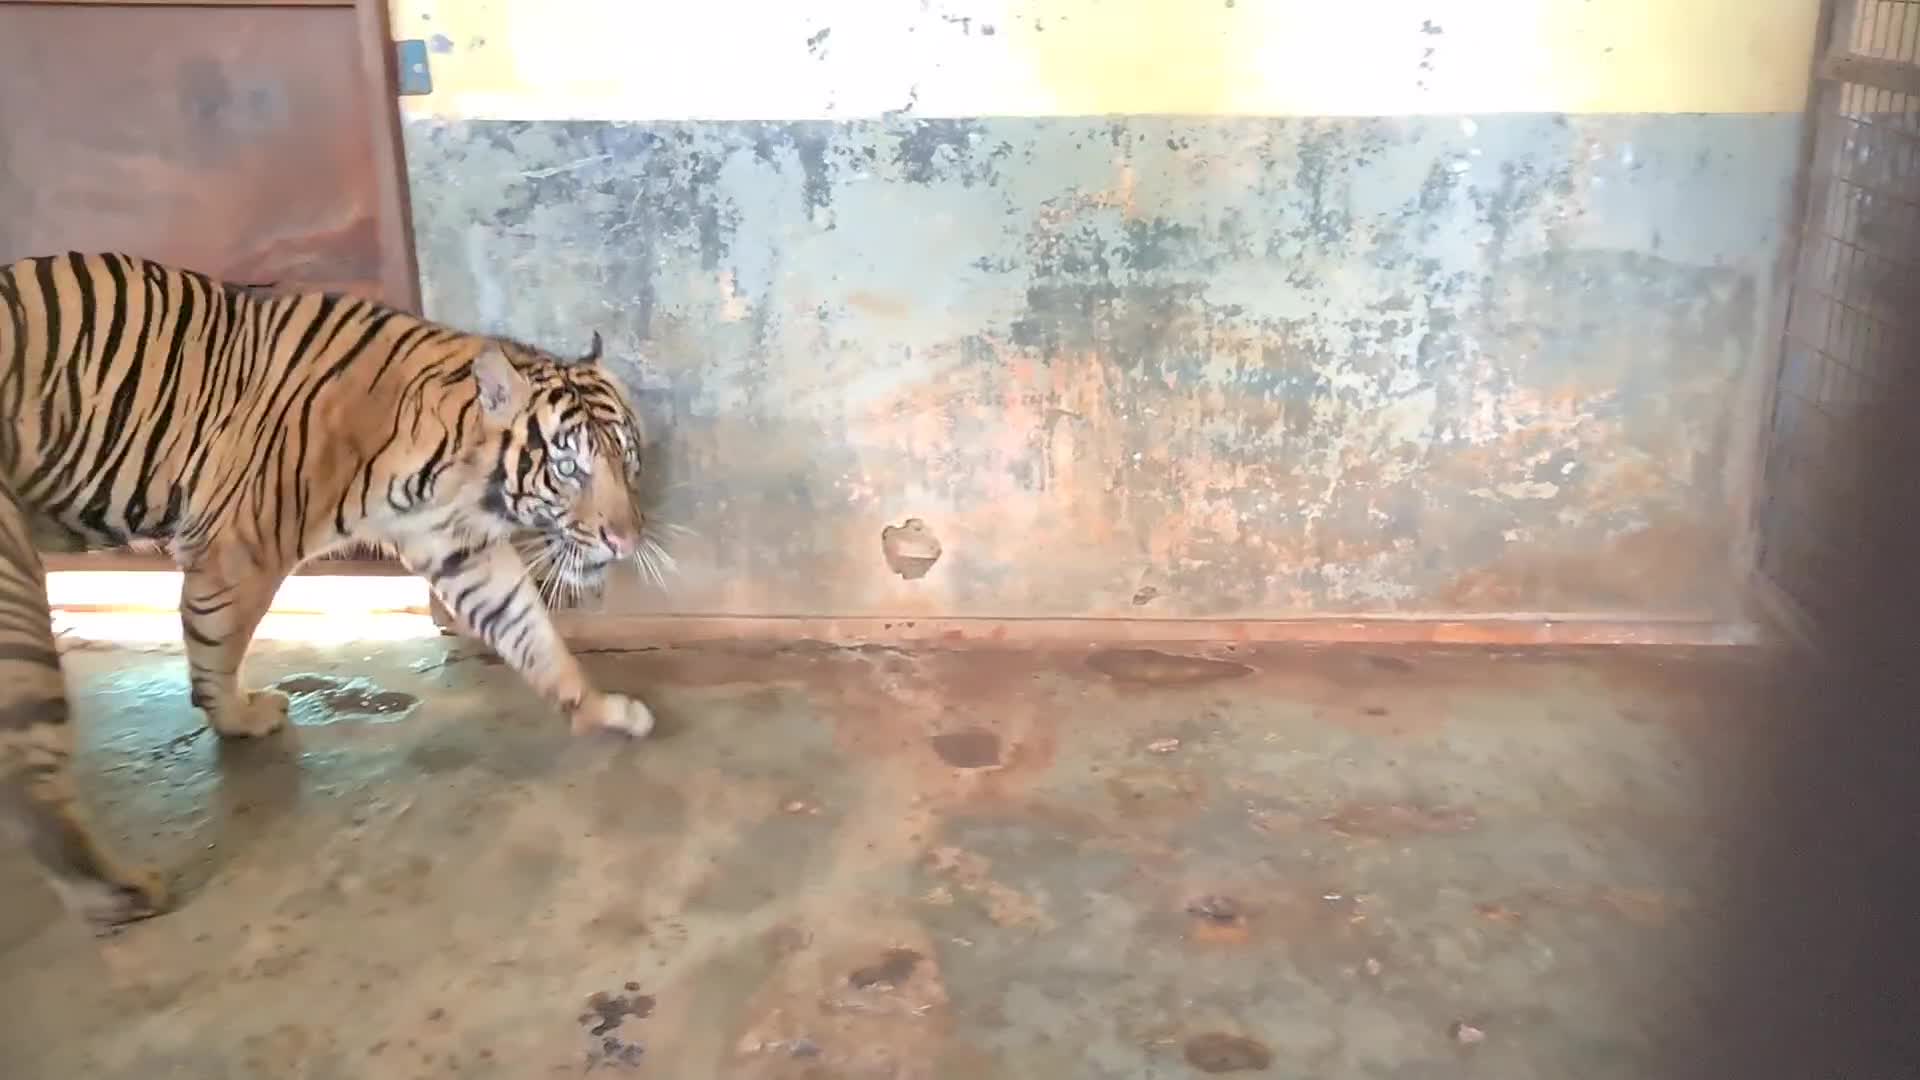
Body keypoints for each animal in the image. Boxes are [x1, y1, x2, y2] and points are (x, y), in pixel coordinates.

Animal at [0, 252, 667, 934]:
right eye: (568, 468)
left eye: (628, 459)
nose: (624, 539)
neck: (454, 468)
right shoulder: (237, 550)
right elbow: (213, 645)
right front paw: (236, 719)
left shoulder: (460, 548)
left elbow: (530, 632)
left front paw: (601, 709)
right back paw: (117, 894)